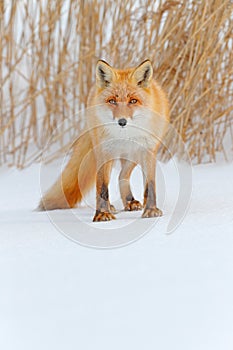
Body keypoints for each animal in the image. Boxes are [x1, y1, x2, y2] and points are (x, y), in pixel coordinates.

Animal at [39, 58, 170, 220]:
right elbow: (102, 186)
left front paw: (151, 210)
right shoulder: (104, 150)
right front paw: (102, 214)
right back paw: (115, 206)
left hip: (134, 155)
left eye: (133, 101)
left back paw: (130, 202)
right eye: (112, 101)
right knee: (116, 177)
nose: (122, 121)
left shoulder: (148, 149)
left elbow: (150, 184)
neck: (124, 135)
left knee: (122, 175)